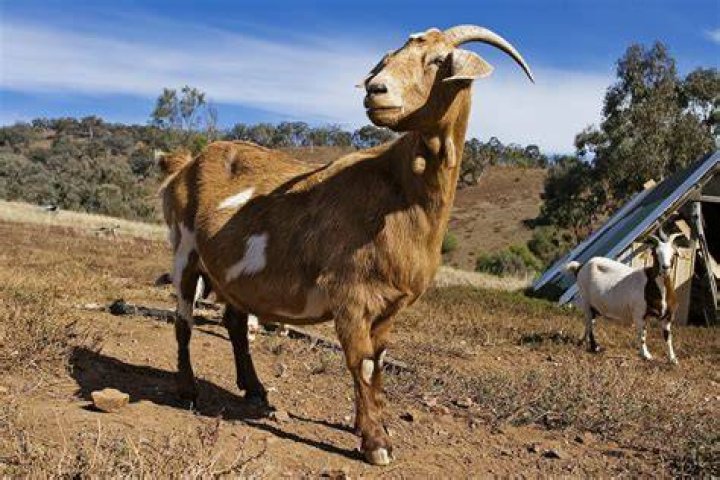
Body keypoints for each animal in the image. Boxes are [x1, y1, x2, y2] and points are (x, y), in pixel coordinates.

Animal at [160, 25, 533, 466]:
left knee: (235, 321)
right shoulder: (351, 294)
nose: (376, 90)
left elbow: (380, 362)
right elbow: (363, 363)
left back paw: (254, 389)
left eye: (439, 60)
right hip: (184, 249)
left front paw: (372, 423)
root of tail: (186, 163)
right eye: (387, 59)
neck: (400, 191)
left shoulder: (390, 305)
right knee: (183, 320)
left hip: (232, 273)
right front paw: (377, 443)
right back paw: (188, 390)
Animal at [564, 228, 683, 364]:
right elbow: (642, 335)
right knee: (589, 324)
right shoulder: (639, 314)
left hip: (594, 306)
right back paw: (595, 347)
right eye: (655, 253)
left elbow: (668, 338)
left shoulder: (668, 317)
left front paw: (673, 359)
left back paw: (584, 342)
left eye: (674, 253)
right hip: (585, 299)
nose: (665, 268)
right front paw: (646, 355)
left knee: (590, 322)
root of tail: (580, 267)